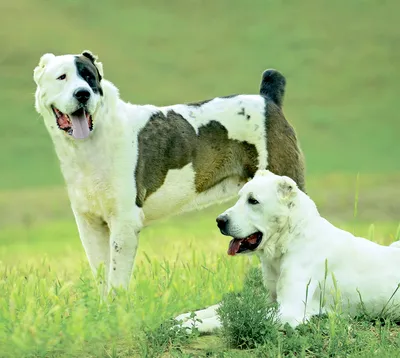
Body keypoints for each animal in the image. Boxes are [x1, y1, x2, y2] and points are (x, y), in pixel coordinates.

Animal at [32, 50, 304, 296]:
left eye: (89, 77)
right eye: (62, 77)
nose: (83, 93)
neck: (90, 142)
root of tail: (267, 99)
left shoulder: (125, 221)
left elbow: (117, 279)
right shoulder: (89, 223)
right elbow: (101, 274)